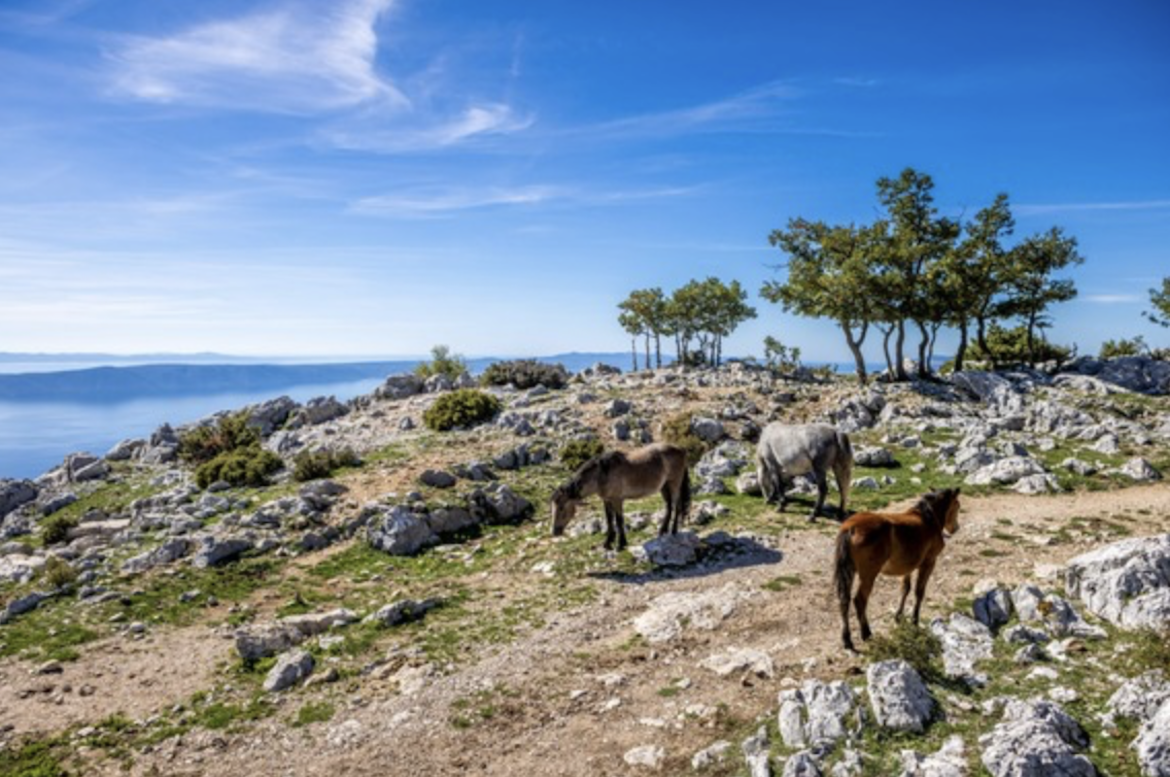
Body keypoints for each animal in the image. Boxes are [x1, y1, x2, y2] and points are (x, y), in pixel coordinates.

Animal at [549, 442, 687, 552]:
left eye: (561, 507)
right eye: (552, 507)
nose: (554, 531)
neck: (602, 474)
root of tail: (680, 449)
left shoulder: (617, 500)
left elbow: (619, 520)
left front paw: (621, 545)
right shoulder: (607, 500)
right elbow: (610, 520)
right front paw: (608, 543)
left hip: (674, 484)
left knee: (676, 505)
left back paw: (674, 531)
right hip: (664, 487)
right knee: (669, 506)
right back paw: (662, 531)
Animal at [837, 489, 964, 650]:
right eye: (957, 506)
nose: (956, 528)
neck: (927, 518)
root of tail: (851, 528)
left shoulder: (908, 567)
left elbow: (905, 589)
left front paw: (899, 616)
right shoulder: (929, 563)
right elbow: (919, 592)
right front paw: (914, 621)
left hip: (850, 571)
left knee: (844, 600)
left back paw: (847, 639)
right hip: (868, 575)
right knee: (860, 601)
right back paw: (866, 633)